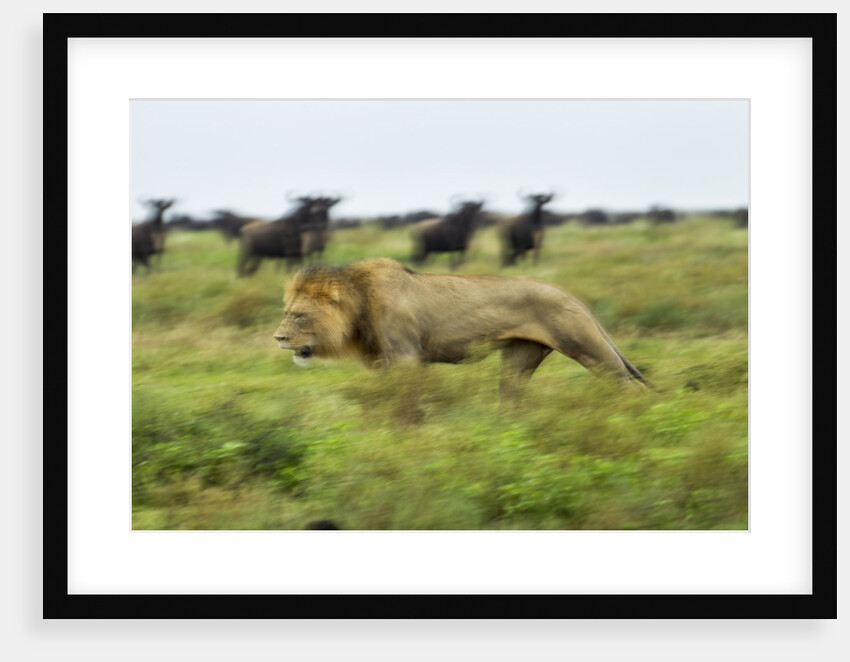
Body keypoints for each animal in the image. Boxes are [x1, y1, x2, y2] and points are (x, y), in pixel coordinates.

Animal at [273, 259, 648, 411]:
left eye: (300, 315)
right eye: (285, 312)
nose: (278, 339)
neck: (359, 303)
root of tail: (573, 296)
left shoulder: (407, 359)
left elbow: (406, 404)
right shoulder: (387, 362)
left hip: (585, 345)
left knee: (628, 386)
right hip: (519, 358)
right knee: (511, 398)